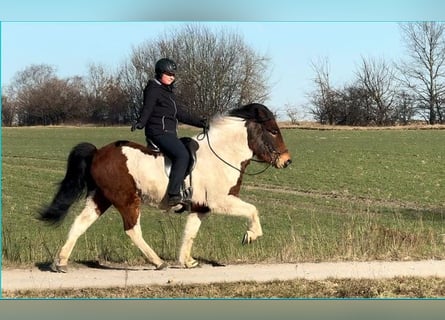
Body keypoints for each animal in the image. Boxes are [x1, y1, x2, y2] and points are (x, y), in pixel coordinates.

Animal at [39, 103, 292, 272]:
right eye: (272, 131)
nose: (287, 161)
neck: (222, 154)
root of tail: (98, 152)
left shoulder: (200, 207)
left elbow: (190, 233)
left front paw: (187, 261)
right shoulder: (221, 201)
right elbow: (253, 210)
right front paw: (251, 236)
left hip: (101, 198)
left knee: (80, 223)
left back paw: (60, 262)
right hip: (127, 200)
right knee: (132, 229)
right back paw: (157, 262)